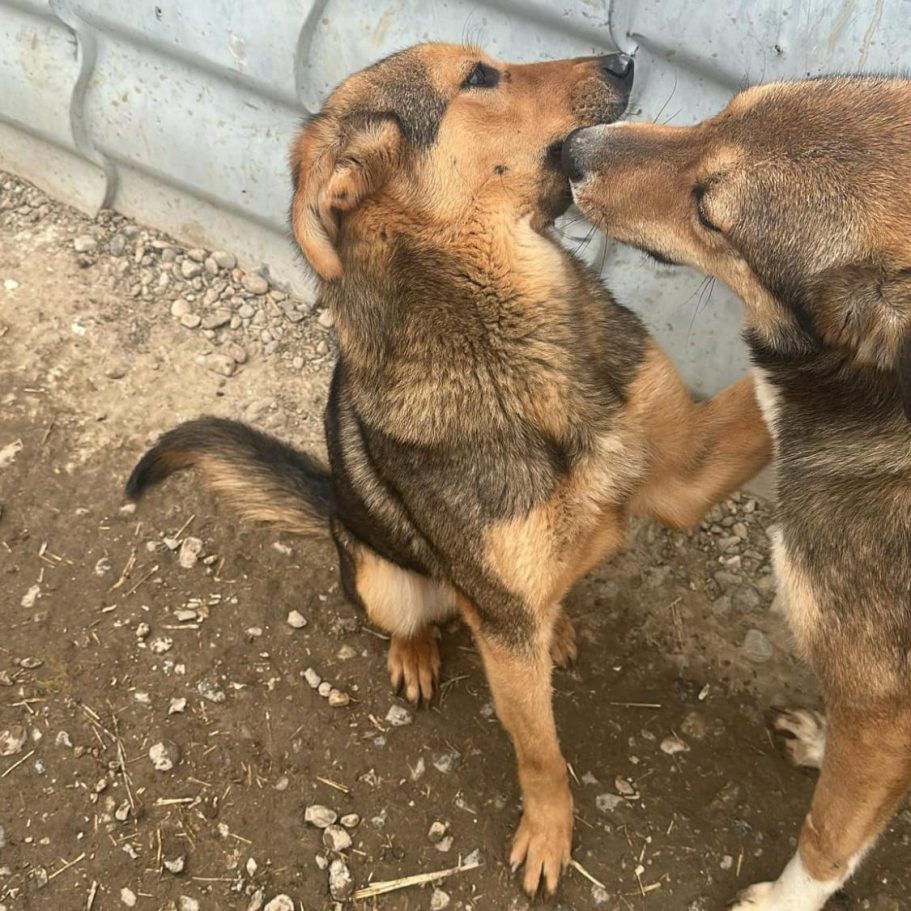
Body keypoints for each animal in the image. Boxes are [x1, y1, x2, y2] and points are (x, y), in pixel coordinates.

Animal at [126, 43, 770, 895]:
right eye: (478, 78)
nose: (625, 58)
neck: (509, 332)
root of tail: (332, 504)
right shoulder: (502, 620)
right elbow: (540, 751)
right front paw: (548, 829)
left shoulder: (685, 469)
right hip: (384, 578)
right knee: (412, 612)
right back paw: (416, 651)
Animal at [564, 76, 911, 909]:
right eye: (727, 106)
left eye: (709, 211)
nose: (567, 149)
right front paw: (821, 739)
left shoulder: (885, 707)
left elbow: (827, 835)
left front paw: (784, 901)